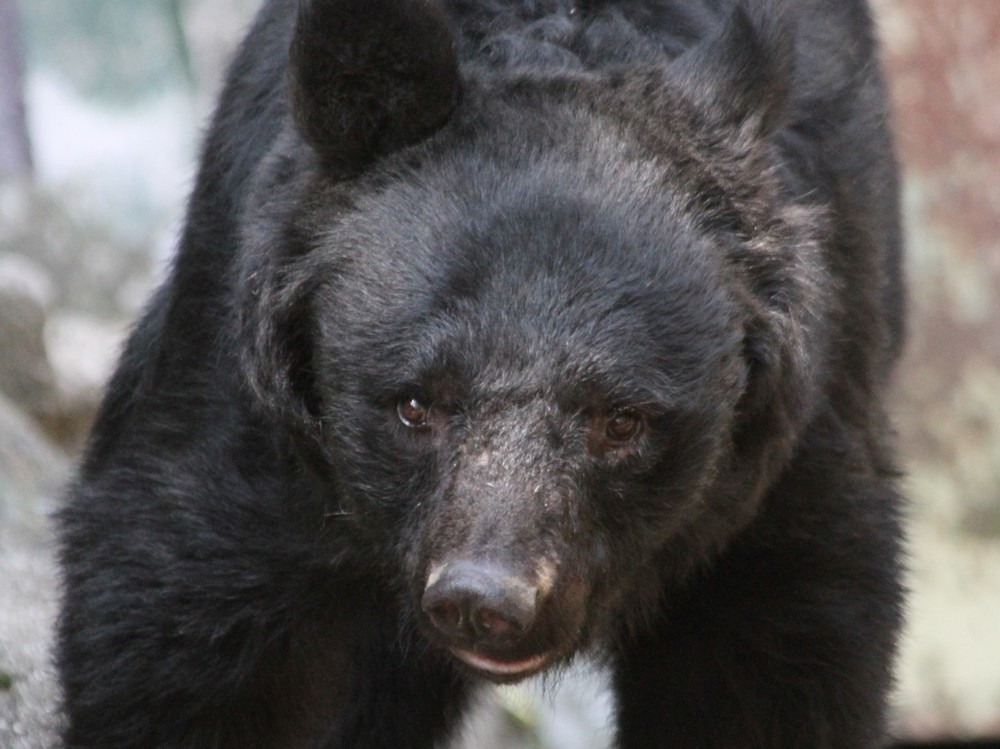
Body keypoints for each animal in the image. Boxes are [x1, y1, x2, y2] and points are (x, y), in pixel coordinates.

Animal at [58, 0, 912, 744]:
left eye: (622, 420)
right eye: (413, 404)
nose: (486, 599)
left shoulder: (791, 447)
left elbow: (774, 661)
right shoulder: (246, 397)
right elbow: (180, 626)